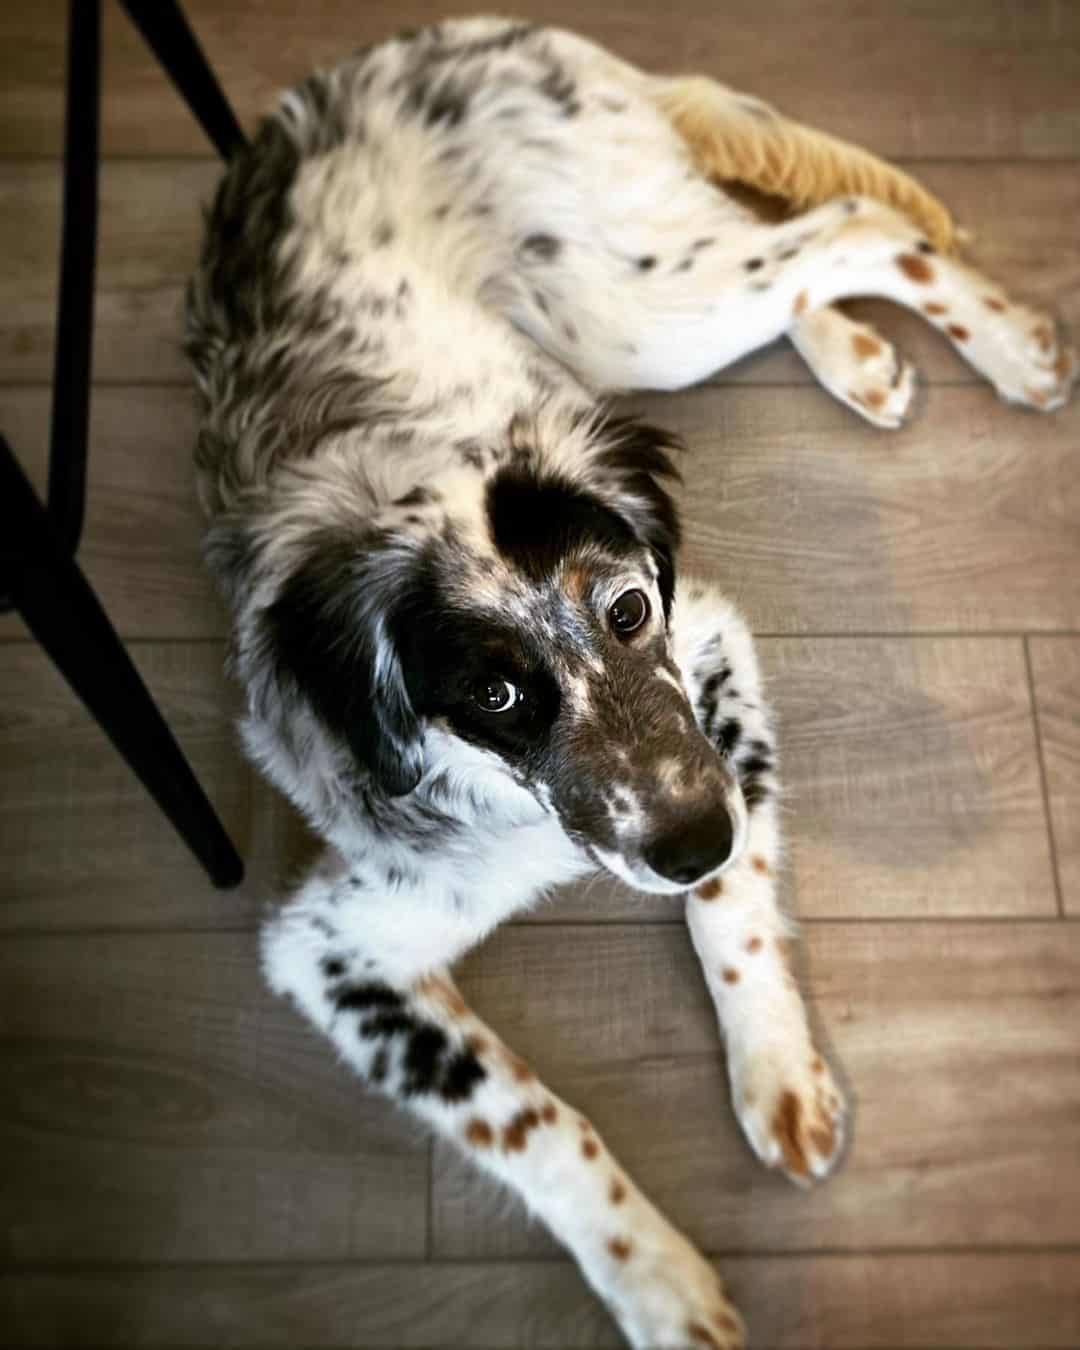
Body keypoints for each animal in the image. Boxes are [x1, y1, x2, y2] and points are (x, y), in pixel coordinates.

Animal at [187, 15, 1080, 1344]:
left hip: (632, 303)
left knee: (847, 223)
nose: (689, 837)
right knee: (801, 245)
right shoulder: (339, 947)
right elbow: (535, 1119)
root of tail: (439, 35)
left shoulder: (707, 649)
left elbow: (732, 908)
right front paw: (660, 1283)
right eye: (494, 697)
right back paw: (862, 354)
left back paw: (1006, 346)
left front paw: (776, 1072)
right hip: (621, 310)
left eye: (626, 609)